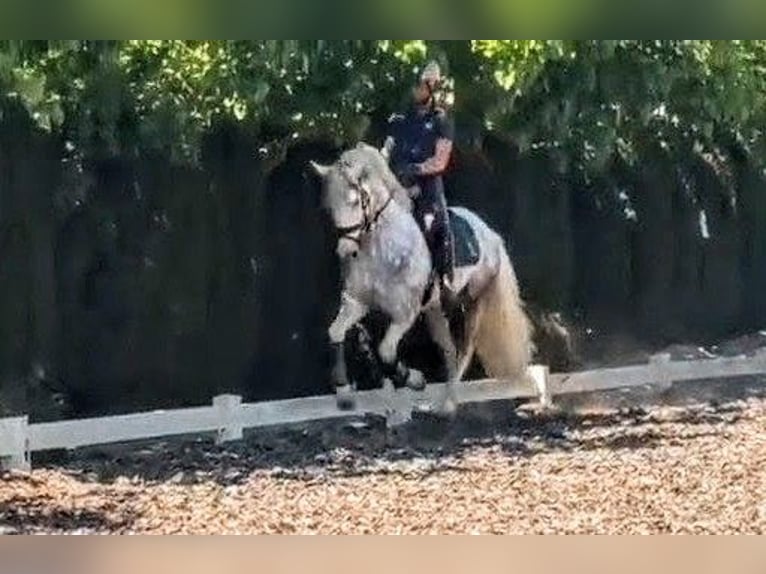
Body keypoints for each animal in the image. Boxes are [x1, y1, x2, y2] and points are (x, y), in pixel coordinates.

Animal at [310, 142, 540, 416]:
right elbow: (335, 333)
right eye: (329, 206)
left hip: (472, 303)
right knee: (449, 350)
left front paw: (414, 380)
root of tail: (490, 234)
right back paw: (441, 404)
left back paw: (449, 404)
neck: (384, 249)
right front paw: (344, 393)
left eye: (355, 201)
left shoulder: (405, 314)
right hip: (434, 310)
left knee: (464, 349)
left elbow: (385, 351)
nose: (345, 251)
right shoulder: (358, 303)